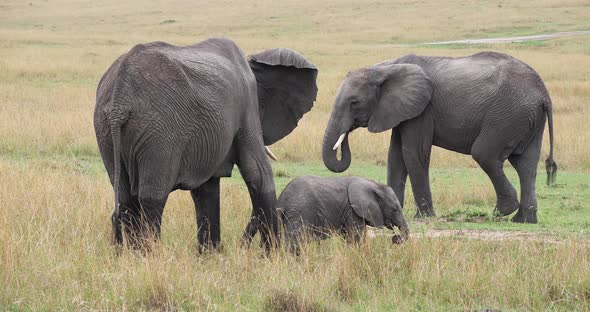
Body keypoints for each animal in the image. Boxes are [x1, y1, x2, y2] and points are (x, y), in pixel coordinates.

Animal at [95, 37, 320, 252]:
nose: (242, 246)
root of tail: (120, 97)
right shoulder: (247, 107)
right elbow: (258, 174)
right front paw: (271, 257)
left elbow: (206, 191)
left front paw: (209, 256)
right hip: (159, 133)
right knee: (151, 197)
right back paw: (150, 255)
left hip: (106, 131)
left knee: (125, 198)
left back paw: (134, 256)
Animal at [278, 176, 412, 254]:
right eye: (395, 209)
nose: (396, 238)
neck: (375, 185)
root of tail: (282, 198)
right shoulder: (353, 210)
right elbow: (356, 237)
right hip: (298, 213)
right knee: (295, 241)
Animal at [324, 53, 560, 224]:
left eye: (354, 102)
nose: (345, 136)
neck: (384, 68)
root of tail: (544, 95)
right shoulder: (401, 111)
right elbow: (395, 157)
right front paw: (392, 212)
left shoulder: (422, 110)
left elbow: (413, 154)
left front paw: (424, 218)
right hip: (526, 117)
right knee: (526, 165)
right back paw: (524, 220)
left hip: (507, 115)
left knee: (485, 154)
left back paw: (502, 212)